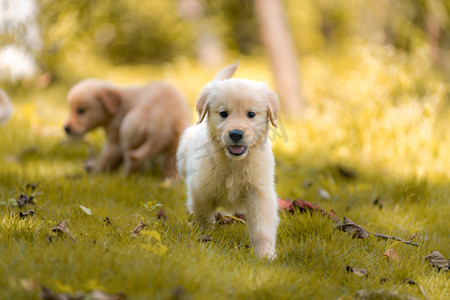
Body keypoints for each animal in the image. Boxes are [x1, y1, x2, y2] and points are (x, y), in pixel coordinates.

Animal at [178, 63, 280, 258]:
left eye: (251, 114)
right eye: (223, 113)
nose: (236, 134)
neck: (234, 161)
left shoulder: (260, 193)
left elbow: (262, 228)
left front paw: (265, 256)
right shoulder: (200, 191)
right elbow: (203, 219)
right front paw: (203, 239)